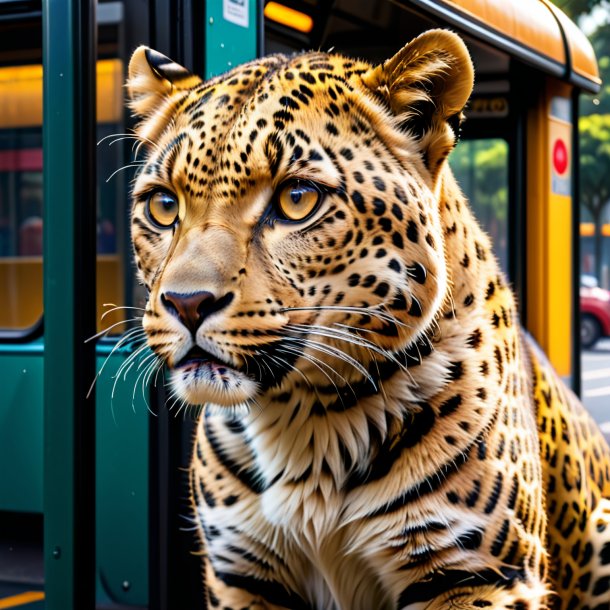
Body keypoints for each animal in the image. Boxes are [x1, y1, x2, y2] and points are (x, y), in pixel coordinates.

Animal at [124, 29, 608, 608]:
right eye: (163, 206)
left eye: (297, 199)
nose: (187, 303)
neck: (305, 426)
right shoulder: (240, 574)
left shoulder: (482, 575)